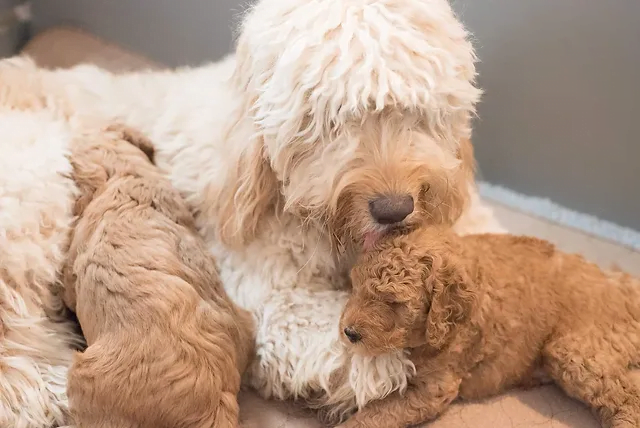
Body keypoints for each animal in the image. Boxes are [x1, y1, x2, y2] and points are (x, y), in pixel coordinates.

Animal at [340, 227, 640, 428]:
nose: (348, 332)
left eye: (393, 302)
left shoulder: (434, 388)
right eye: (355, 286)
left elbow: (378, 413)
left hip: (575, 350)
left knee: (628, 398)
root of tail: (627, 287)